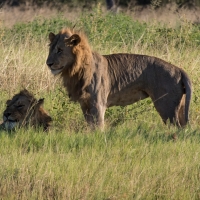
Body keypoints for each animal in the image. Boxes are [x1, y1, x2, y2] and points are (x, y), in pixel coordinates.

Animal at [45, 27, 192, 128]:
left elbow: (97, 127)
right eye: (50, 49)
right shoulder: (84, 103)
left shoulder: (98, 103)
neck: (75, 70)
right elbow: (90, 125)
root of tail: (179, 69)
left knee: (176, 126)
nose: (48, 63)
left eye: (60, 50)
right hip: (179, 106)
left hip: (166, 106)